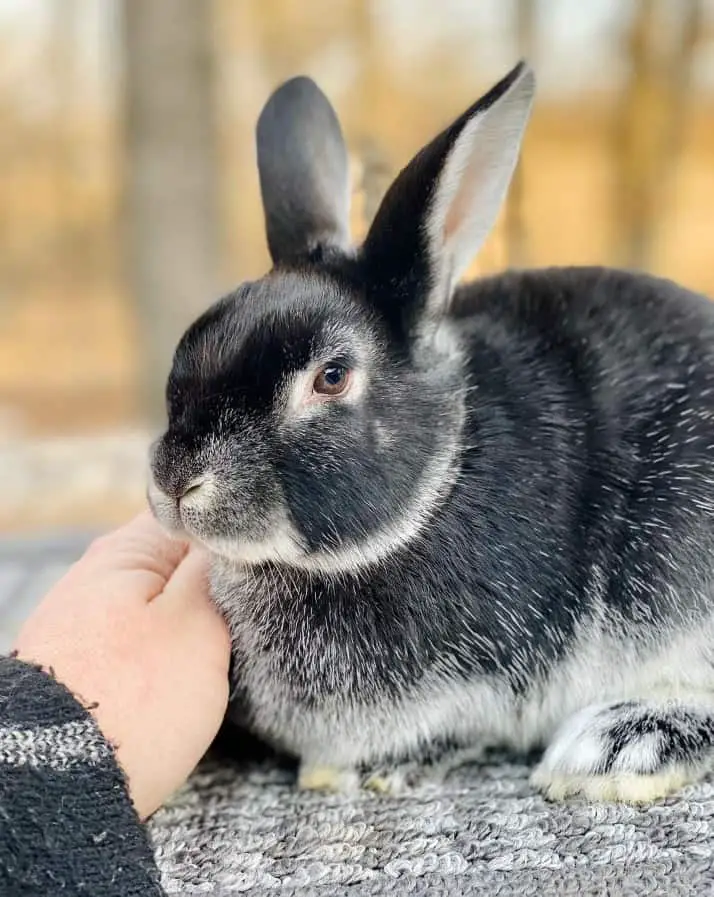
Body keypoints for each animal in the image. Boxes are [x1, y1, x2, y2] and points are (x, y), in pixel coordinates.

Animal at [146, 65, 714, 804]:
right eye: (187, 348)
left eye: (332, 376)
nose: (176, 481)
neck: (435, 487)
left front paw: (369, 770)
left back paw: (618, 747)